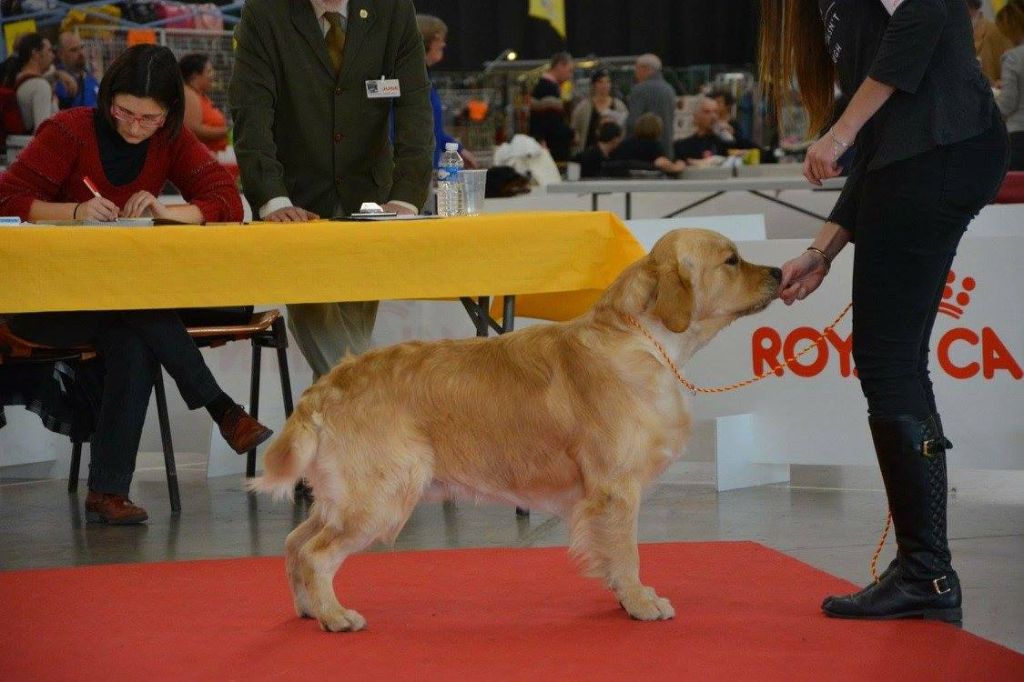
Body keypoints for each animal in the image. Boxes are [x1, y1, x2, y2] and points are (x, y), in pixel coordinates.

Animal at [251, 229, 778, 630]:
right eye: (732, 260)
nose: (778, 272)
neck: (639, 338)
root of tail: (329, 384)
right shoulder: (616, 488)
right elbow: (627, 552)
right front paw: (641, 603)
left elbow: (613, 555)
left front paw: (626, 595)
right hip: (381, 493)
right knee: (315, 553)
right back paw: (336, 616)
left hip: (345, 494)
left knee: (294, 542)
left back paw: (308, 609)